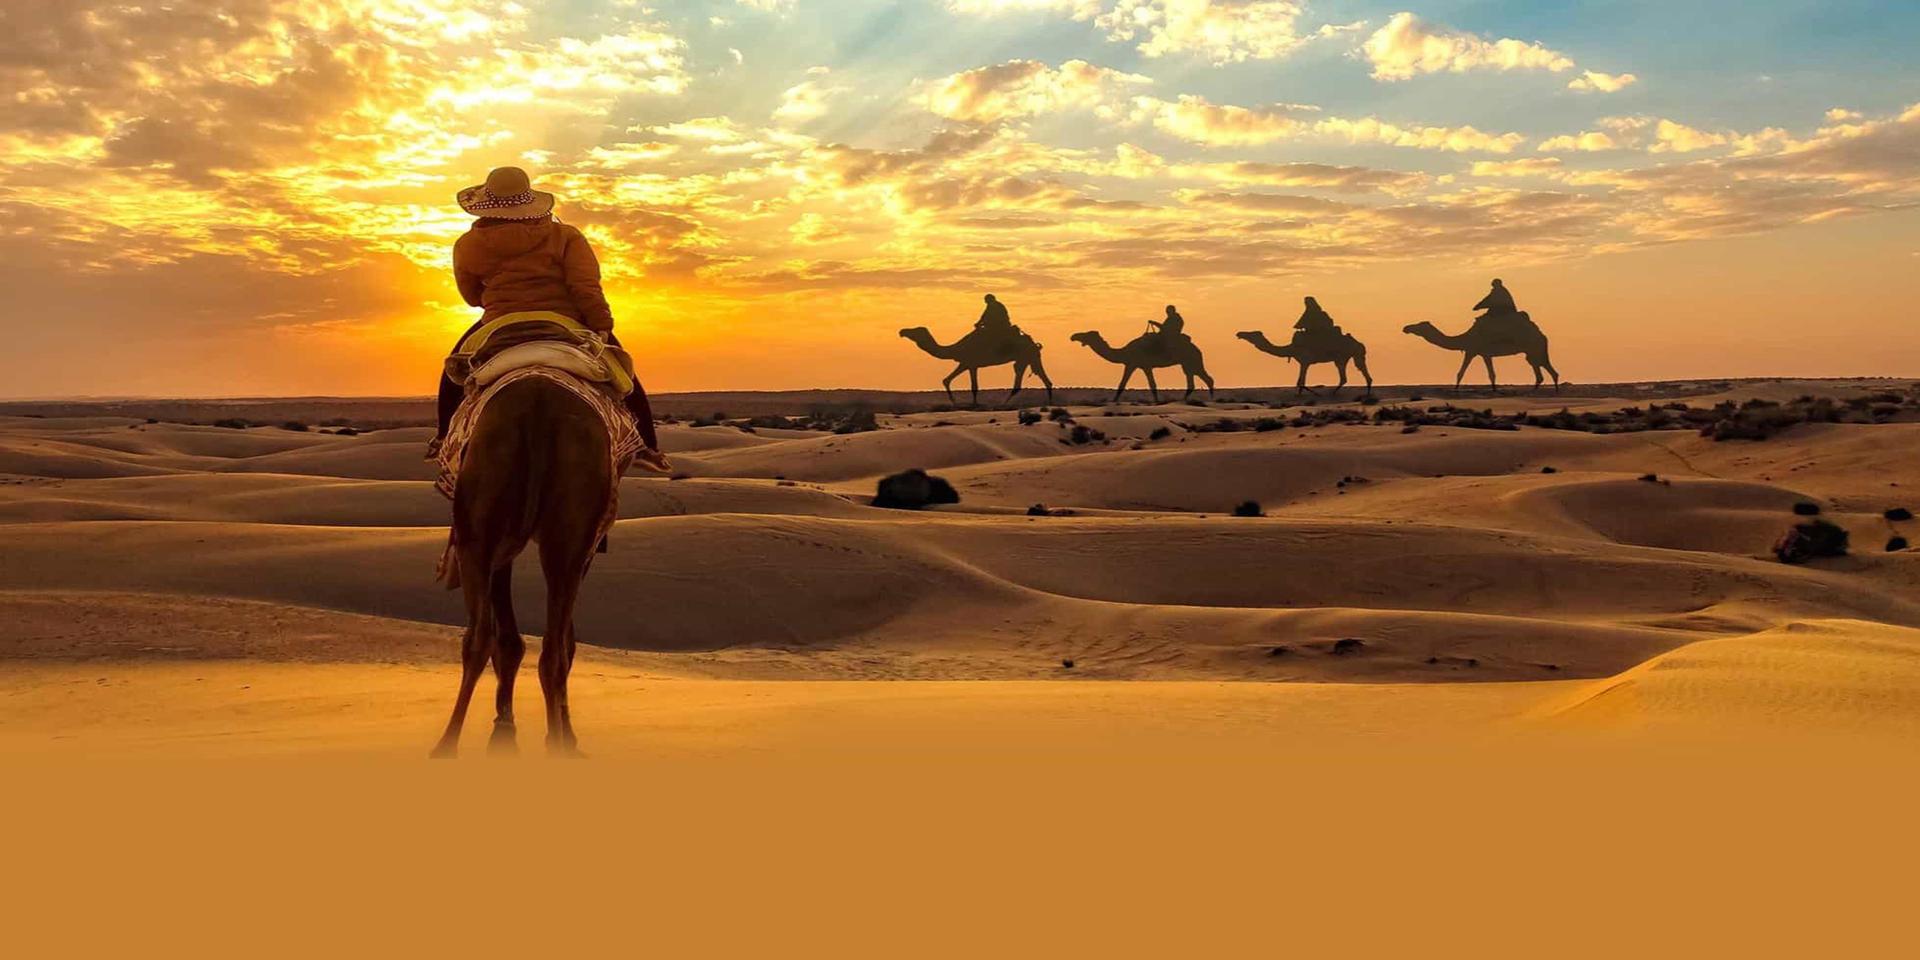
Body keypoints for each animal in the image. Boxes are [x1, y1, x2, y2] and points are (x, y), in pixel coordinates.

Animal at [431, 375, 619, 758]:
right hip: (561, 533)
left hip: (479, 533)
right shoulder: (581, 550)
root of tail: (538, 407)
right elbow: (555, 639)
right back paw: (556, 743)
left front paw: (506, 727)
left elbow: (511, 638)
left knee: (481, 637)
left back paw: (447, 744)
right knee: (551, 650)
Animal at [899, 326, 1053, 406]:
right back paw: (1049, 403)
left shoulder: (970, 363)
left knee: (1020, 383)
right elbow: (947, 380)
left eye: (916, 330)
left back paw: (1002, 405)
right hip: (1032, 358)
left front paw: (971, 405)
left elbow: (974, 387)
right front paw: (955, 403)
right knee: (1046, 380)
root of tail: (1035, 344)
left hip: (1024, 358)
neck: (956, 349)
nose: (902, 332)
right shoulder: (967, 363)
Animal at [1070, 330, 1216, 402]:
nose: (1073, 336)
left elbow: (1147, 385)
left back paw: (1211, 400)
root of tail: (1197, 349)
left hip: (1192, 361)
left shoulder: (1137, 364)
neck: (1125, 352)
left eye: (1087, 334)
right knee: (1193, 381)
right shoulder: (1137, 365)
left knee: (1207, 379)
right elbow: (1125, 384)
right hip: (1186, 363)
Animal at [1236, 330, 1374, 398]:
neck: (1291, 348)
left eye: (1252, 333)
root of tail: (1359, 343)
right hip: (1350, 356)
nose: (1239, 333)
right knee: (1360, 373)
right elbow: (1300, 382)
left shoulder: (1305, 361)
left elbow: (1301, 382)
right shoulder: (1303, 362)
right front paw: (1301, 395)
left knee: (1345, 377)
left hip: (1342, 357)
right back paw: (1367, 394)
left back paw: (1333, 394)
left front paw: (1316, 394)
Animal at [1403, 314, 1561, 393]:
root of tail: (1543, 335)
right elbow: (1491, 374)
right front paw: (1494, 390)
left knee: (1546, 370)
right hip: (1531, 352)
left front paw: (1455, 389)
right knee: (1541, 371)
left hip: (1534, 348)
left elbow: (1461, 372)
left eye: (1420, 325)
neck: (1466, 338)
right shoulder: (1484, 354)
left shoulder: (1472, 351)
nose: (1406, 328)